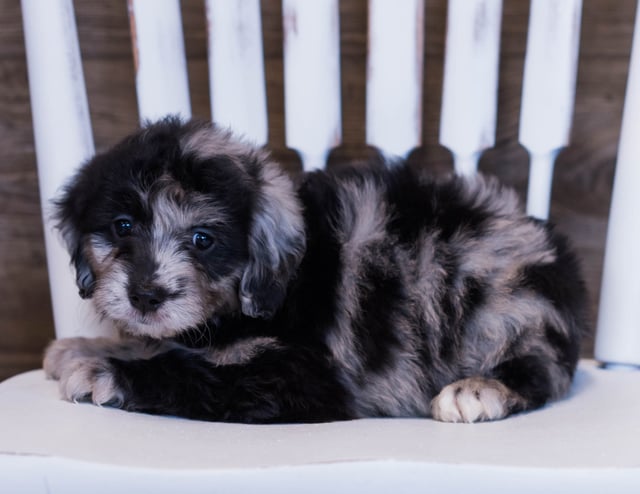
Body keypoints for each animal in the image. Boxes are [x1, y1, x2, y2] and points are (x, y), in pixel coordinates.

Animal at [42, 117, 588, 422]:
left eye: (203, 240)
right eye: (122, 226)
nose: (146, 296)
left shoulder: (305, 377)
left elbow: (195, 372)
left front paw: (104, 370)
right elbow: (165, 343)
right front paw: (85, 347)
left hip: (507, 304)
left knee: (542, 371)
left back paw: (477, 390)